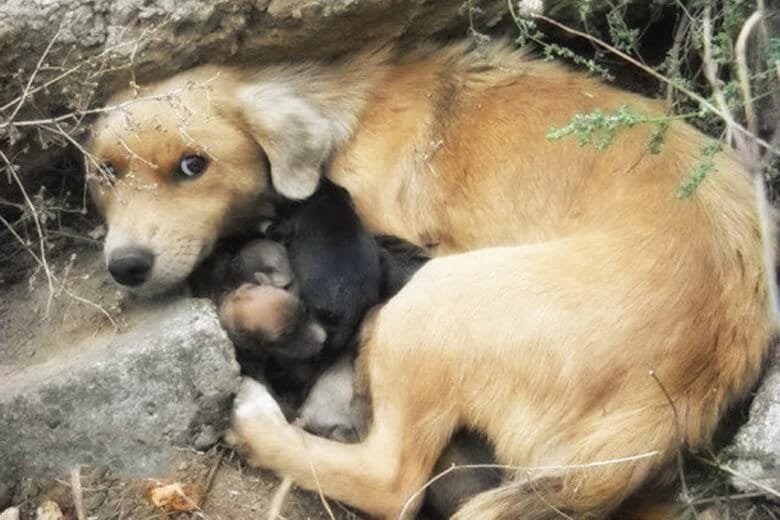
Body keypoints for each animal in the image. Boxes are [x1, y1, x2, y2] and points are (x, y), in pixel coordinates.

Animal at [90, 41, 772, 520]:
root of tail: (670, 406)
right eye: (106, 173)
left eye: (193, 165)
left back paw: (256, 420)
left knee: (391, 481)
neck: (342, 112)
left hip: (433, 304)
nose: (125, 265)